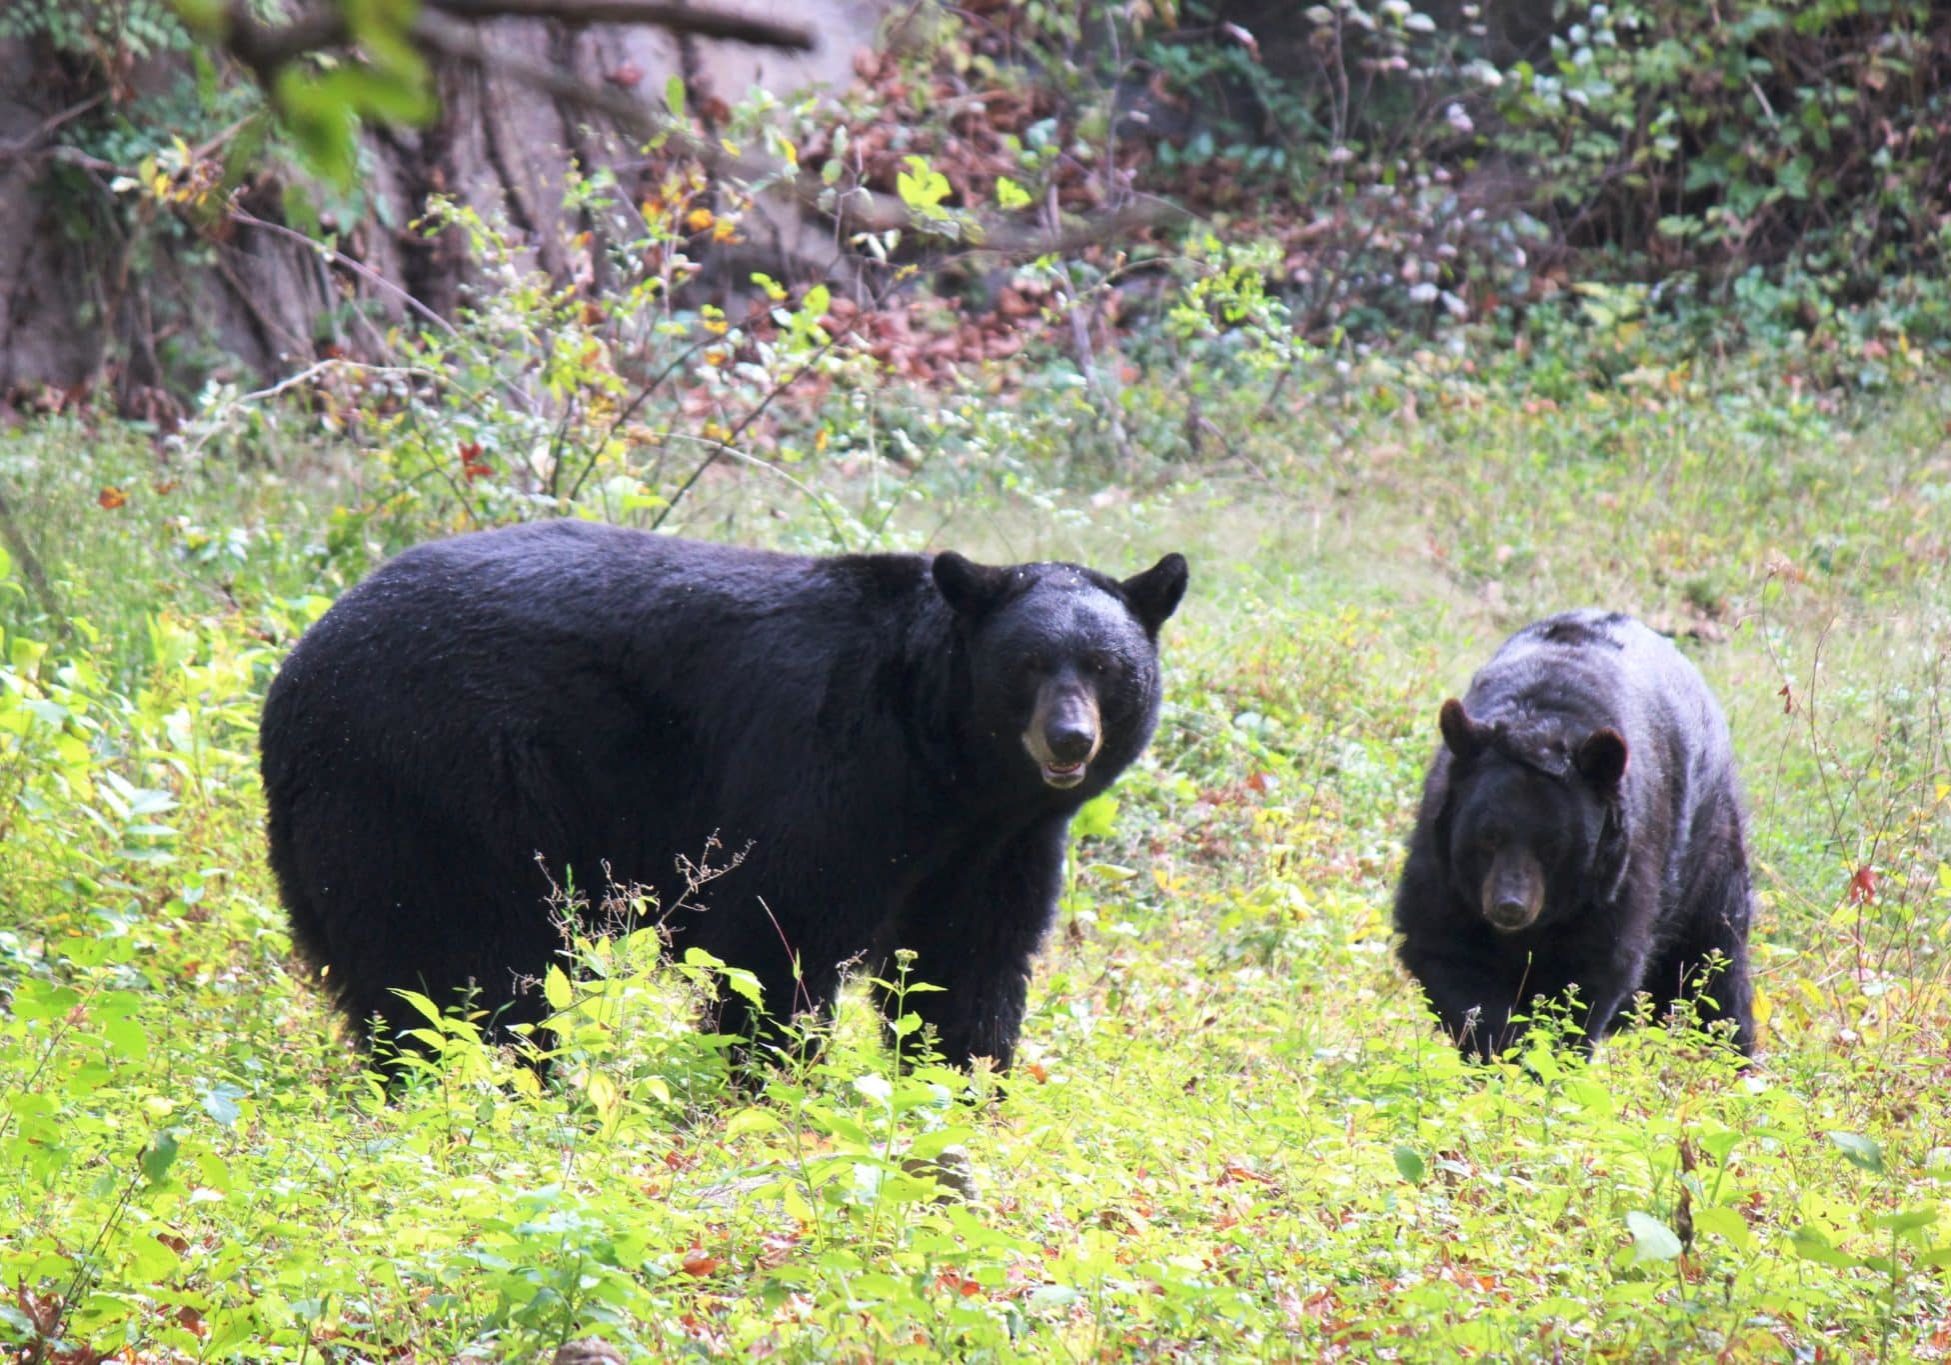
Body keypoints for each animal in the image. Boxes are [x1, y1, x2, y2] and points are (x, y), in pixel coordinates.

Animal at [259, 520, 1188, 1071]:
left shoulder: (998, 844)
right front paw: (772, 1084)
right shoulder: (833, 769)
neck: (947, 769)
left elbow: (970, 962)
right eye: (1026, 665)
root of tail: (295, 676)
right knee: (463, 964)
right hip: (435, 790)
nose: (1067, 740)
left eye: (1105, 668)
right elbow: (778, 934)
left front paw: (958, 1085)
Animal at [1392, 609, 1755, 1061]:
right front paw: (1498, 1048)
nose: (1510, 906)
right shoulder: (1444, 863)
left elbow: (1588, 974)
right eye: (1487, 838)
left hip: (1707, 853)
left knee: (1713, 966)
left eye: (1553, 847)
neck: (1543, 719)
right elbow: (1446, 951)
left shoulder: (1615, 871)